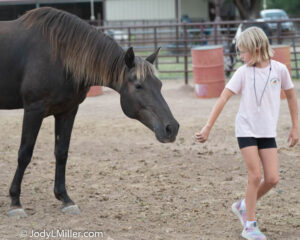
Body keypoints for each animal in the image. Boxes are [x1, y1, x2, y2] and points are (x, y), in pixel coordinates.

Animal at [0, 7, 178, 218]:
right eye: (138, 86)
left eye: (160, 84)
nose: (172, 128)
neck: (58, 55)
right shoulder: (34, 109)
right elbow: (24, 153)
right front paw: (15, 202)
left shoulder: (67, 110)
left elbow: (61, 152)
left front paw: (65, 198)